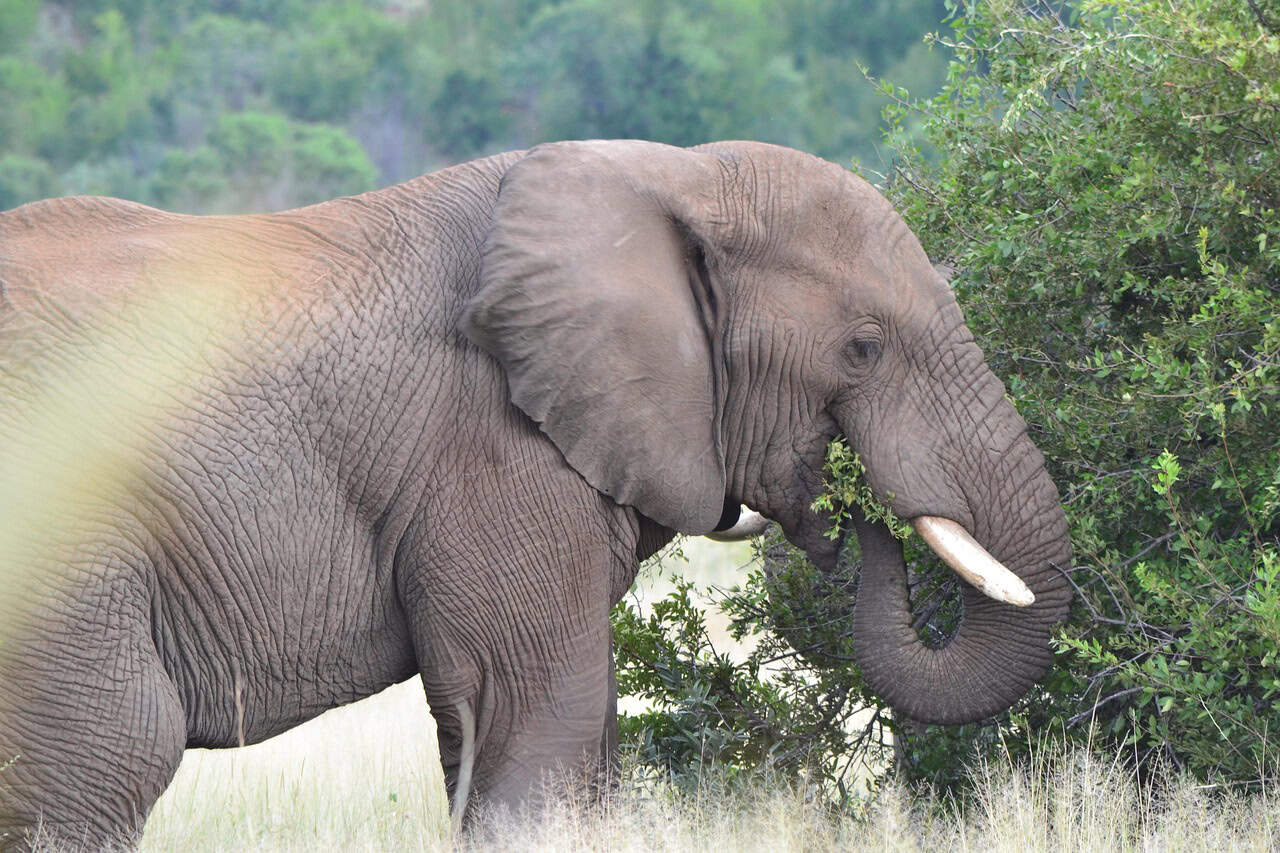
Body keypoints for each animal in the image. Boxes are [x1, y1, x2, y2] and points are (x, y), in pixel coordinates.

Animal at [0, 139, 1071, 849]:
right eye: (864, 347)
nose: (848, 510)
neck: (676, 176)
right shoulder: (496, 452)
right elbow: (537, 719)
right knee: (106, 759)